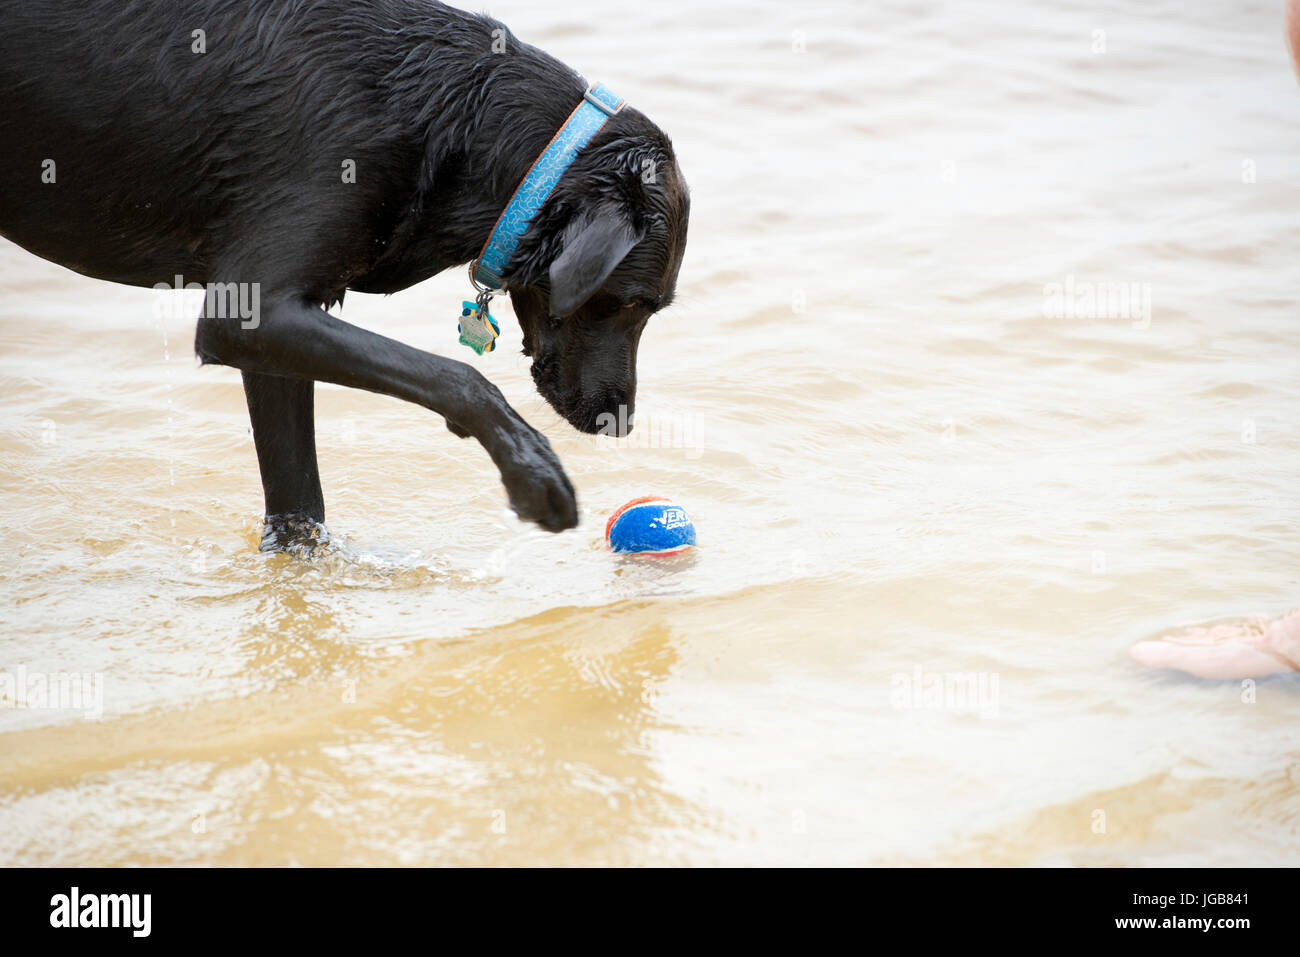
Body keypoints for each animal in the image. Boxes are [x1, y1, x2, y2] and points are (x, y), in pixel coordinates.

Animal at [0, 0, 691, 546]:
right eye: (630, 305)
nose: (622, 422)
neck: (453, 117)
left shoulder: (275, 330)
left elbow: (298, 499)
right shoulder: (251, 312)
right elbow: (461, 378)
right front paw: (530, 469)